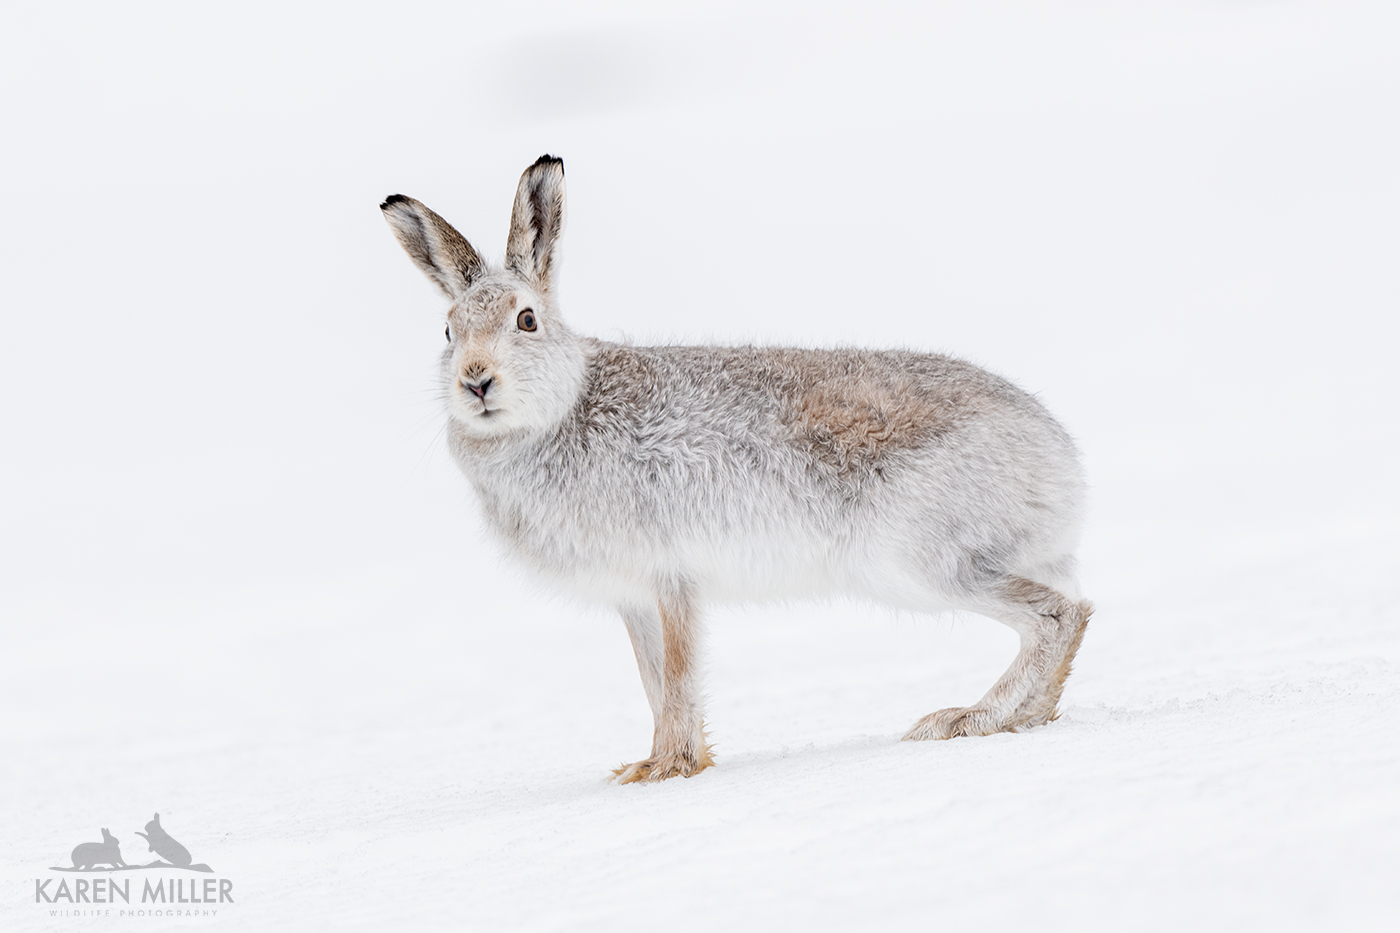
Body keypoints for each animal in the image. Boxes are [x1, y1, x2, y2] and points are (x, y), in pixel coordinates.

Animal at [380, 155, 1092, 783]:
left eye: (526, 320)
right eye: (448, 333)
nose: (476, 382)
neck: (559, 412)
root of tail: (1061, 466)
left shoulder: (670, 578)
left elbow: (677, 678)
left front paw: (665, 772)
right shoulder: (634, 596)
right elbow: (655, 681)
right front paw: (662, 765)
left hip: (918, 562)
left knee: (1060, 615)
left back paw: (967, 720)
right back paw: (1025, 717)